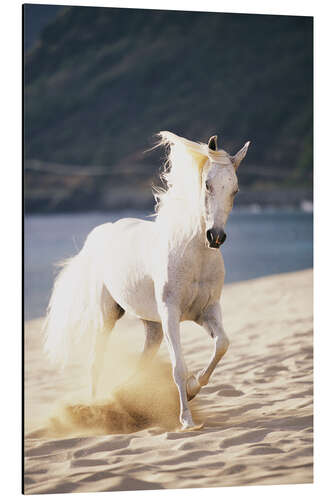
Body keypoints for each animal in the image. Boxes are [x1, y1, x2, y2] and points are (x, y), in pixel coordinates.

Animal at [44, 132, 250, 430]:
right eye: (208, 184)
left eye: (235, 190)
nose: (216, 237)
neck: (193, 254)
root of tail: (102, 232)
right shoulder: (170, 313)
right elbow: (178, 366)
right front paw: (187, 420)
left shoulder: (206, 310)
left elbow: (222, 345)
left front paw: (192, 388)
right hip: (108, 316)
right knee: (96, 361)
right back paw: (94, 409)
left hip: (152, 326)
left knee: (141, 363)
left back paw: (124, 398)